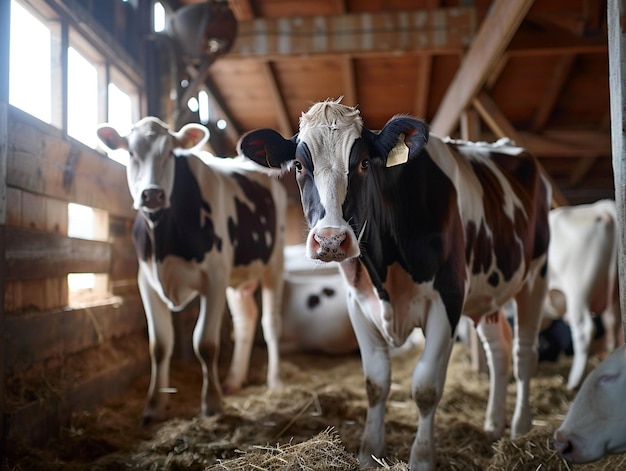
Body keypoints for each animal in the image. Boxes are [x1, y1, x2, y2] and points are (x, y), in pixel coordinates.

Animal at [96, 117, 286, 424]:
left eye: (169, 153)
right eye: (131, 153)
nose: (152, 194)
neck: (163, 242)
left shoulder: (214, 278)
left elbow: (205, 344)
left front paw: (212, 403)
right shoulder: (146, 282)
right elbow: (159, 346)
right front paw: (154, 406)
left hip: (275, 261)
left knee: (271, 323)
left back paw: (276, 381)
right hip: (236, 276)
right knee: (246, 319)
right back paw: (234, 380)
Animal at [236, 97, 548, 470]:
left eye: (364, 163)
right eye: (298, 165)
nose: (330, 240)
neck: (386, 267)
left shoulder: (448, 298)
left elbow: (426, 386)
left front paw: (422, 458)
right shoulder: (358, 302)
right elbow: (375, 382)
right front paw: (369, 452)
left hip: (536, 275)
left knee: (524, 352)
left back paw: (521, 427)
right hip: (487, 293)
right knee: (498, 348)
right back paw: (493, 424)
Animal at [540, 201, 620, 390]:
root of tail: (600, 208)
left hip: (578, 290)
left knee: (585, 330)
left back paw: (573, 382)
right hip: (614, 292)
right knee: (613, 322)